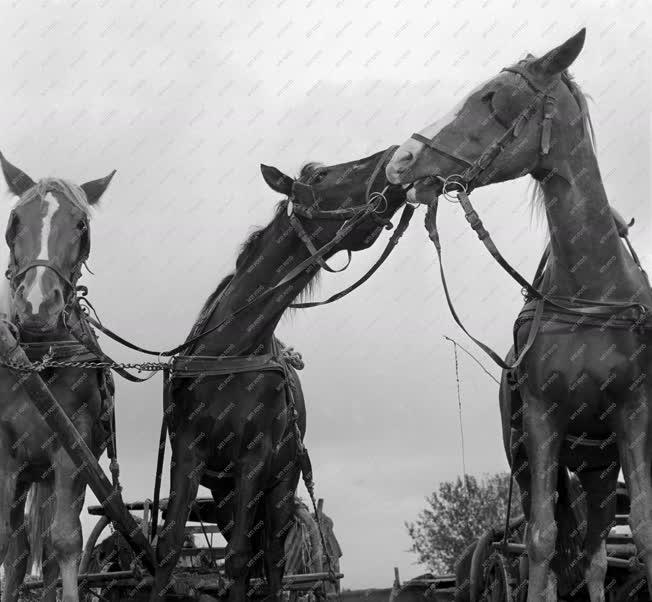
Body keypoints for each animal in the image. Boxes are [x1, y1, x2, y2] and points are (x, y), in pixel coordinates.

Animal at [0, 151, 114, 600]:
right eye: (15, 219)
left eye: (81, 226)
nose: (36, 304)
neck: (36, 355)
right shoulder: (4, 450)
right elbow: (4, 543)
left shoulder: (73, 446)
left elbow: (65, 542)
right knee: (17, 548)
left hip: (49, 474)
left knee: (46, 551)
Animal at [153, 146, 408, 600]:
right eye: (321, 176)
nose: (395, 154)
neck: (229, 353)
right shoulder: (187, 451)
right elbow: (168, 547)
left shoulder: (256, 460)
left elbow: (239, 560)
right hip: (224, 493)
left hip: (281, 485)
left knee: (267, 558)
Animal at [384, 30, 652, 600]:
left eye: (493, 98)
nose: (401, 159)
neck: (590, 295)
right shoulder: (540, 420)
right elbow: (541, 541)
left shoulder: (634, 413)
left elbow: (640, 527)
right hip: (542, 461)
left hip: (600, 467)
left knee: (596, 552)